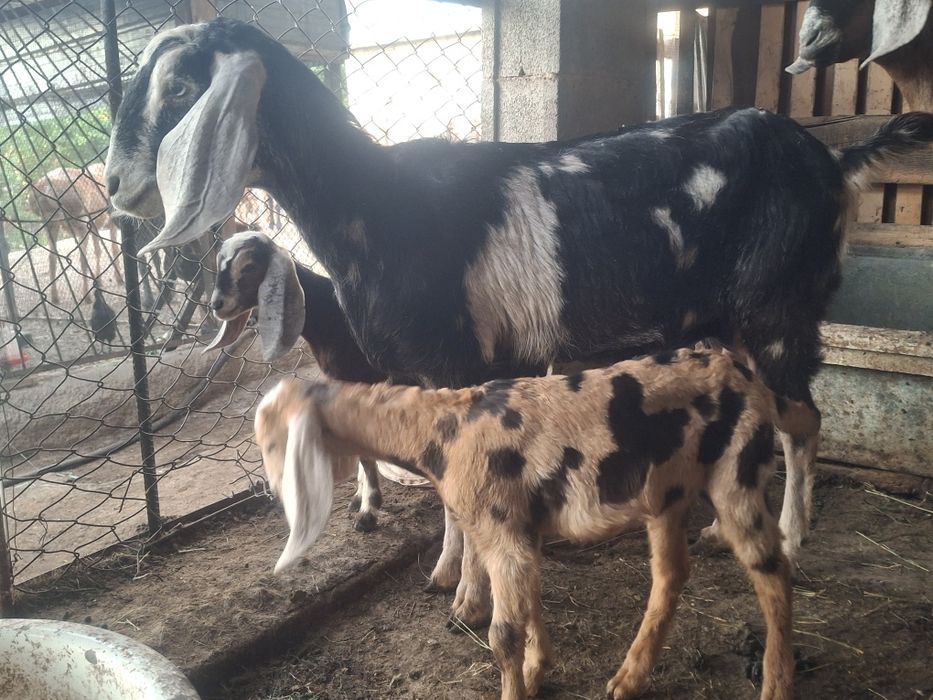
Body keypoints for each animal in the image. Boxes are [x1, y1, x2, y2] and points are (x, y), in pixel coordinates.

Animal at [27, 163, 123, 305]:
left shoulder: (94, 226)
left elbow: (98, 250)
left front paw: (100, 280)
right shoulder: (106, 223)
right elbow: (114, 248)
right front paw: (119, 279)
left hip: (50, 224)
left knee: (51, 257)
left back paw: (55, 297)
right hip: (80, 222)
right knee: (82, 259)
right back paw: (87, 297)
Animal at [255, 349, 796, 700]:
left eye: (274, 441)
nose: (274, 495)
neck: (443, 433)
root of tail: (741, 370)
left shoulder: (501, 531)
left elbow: (502, 634)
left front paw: (518, 681)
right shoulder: (518, 529)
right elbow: (530, 604)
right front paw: (539, 670)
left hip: (738, 473)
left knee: (773, 574)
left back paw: (774, 683)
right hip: (668, 493)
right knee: (671, 575)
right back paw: (628, 679)